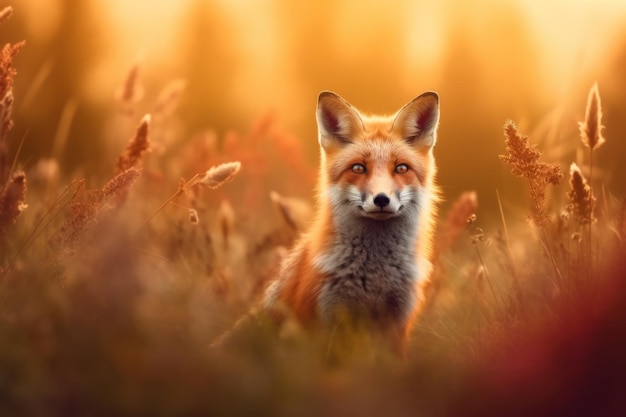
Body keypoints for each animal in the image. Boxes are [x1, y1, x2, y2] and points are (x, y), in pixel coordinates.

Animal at [262, 90, 438, 354]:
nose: (381, 199)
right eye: (358, 168)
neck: (376, 275)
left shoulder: (397, 327)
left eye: (401, 168)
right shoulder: (325, 321)